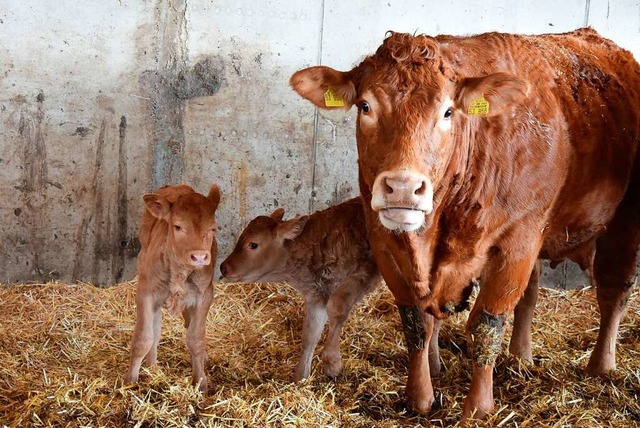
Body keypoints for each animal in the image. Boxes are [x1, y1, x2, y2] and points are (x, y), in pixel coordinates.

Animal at [124, 182, 221, 392]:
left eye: (213, 229)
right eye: (178, 226)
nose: (199, 257)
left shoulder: (204, 295)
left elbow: (196, 338)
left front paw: (200, 382)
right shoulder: (145, 292)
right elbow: (143, 338)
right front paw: (130, 382)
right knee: (155, 329)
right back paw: (152, 365)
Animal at [220, 198, 382, 382]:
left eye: (253, 244)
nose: (223, 267)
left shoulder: (361, 275)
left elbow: (337, 310)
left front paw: (332, 363)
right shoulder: (316, 295)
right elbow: (310, 333)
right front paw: (301, 376)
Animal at [292, 28, 640, 422]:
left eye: (447, 111)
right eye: (365, 106)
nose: (402, 187)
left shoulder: (517, 243)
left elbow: (487, 326)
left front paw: (478, 408)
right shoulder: (384, 241)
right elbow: (416, 323)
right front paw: (420, 397)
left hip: (622, 219)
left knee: (614, 291)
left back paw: (601, 365)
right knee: (531, 297)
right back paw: (521, 356)